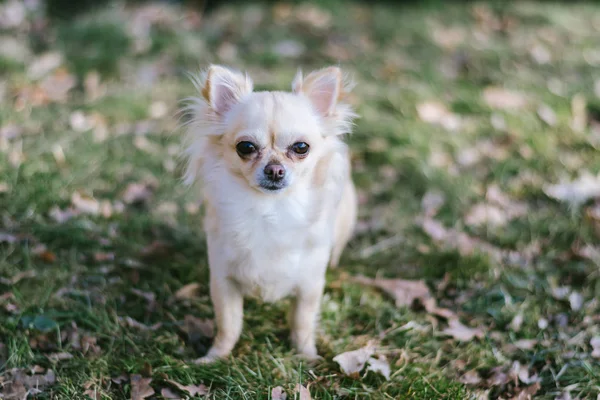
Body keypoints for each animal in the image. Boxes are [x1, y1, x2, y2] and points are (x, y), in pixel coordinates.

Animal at [183, 64, 356, 360]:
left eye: (301, 148)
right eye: (246, 147)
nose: (275, 170)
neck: (270, 208)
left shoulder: (309, 286)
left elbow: (302, 323)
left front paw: (307, 356)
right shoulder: (223, 280)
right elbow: (228, 325)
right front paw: (216, 356)